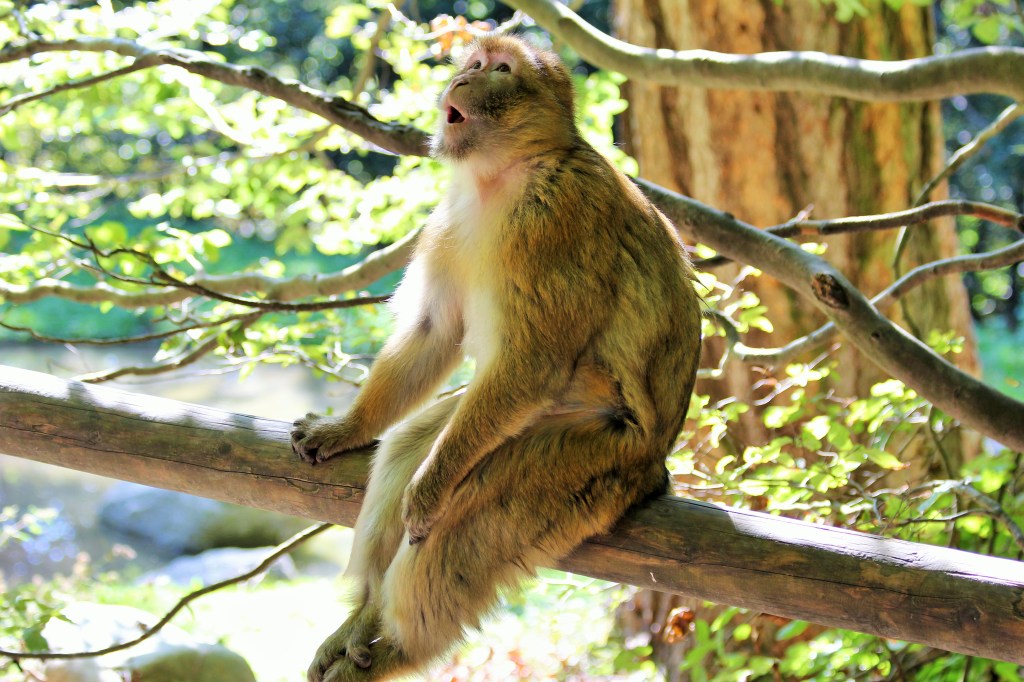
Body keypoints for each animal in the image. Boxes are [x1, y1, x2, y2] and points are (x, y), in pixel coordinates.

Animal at [290, 34, 701, 682]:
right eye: (474, 63)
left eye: (499, 71)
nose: (460, 82)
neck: (504, 174)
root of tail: (654, 464)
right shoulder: (448, 220)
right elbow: (433, 333)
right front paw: (344, 429)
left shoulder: (553, 217)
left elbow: (531, 363)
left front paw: (428, 492)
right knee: (408, 447)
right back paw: (363, 619)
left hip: (588, 458)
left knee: (470, 512)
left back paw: (396, 647)